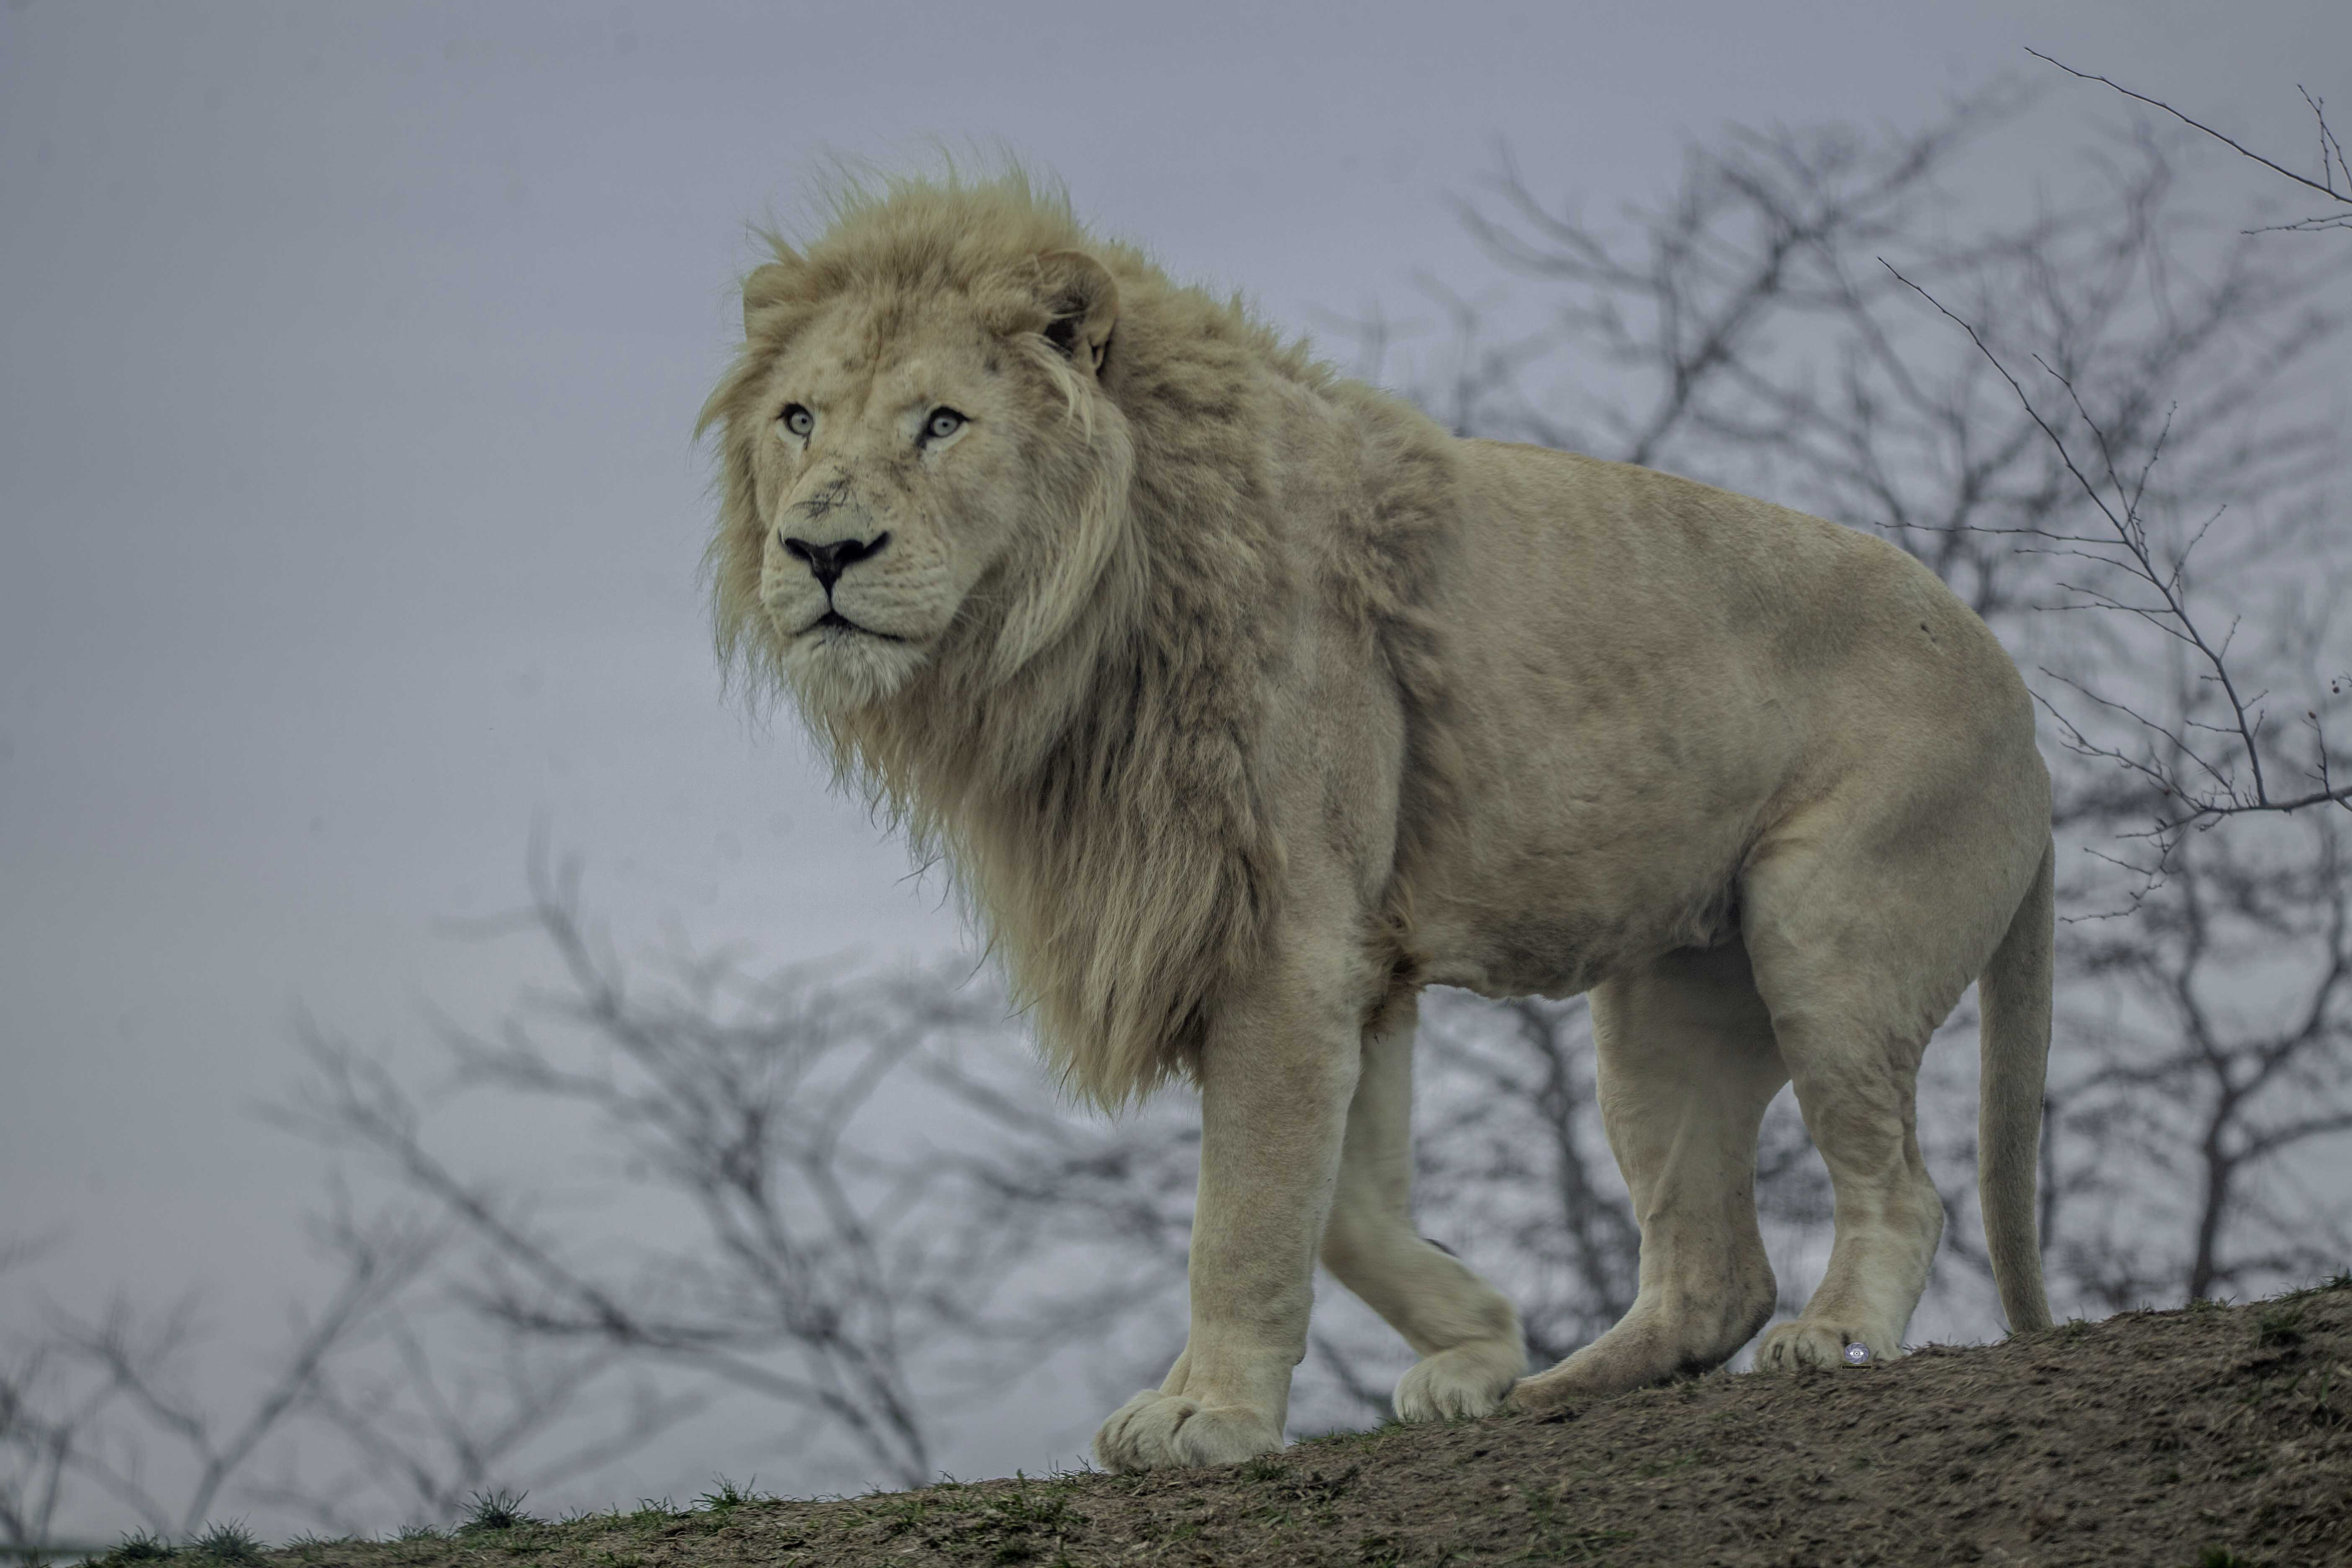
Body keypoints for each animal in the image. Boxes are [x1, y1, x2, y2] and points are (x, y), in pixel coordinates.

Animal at [686, 171, 2051, 1476]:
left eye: (942, 423)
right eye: (799, 419)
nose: (821, 550)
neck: (1078, 624)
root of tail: (2022, 701)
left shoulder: (1287, 932)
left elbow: (1246, 1208)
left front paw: (1210, 1415)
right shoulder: (1353, 954)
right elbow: (1338, 1201)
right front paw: (1480, 1345)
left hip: (1830, 936)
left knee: (1902, 1186)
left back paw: (1837, 1333)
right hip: (1667, 1010)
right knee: (1714, 1269)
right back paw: (1566, 1384)